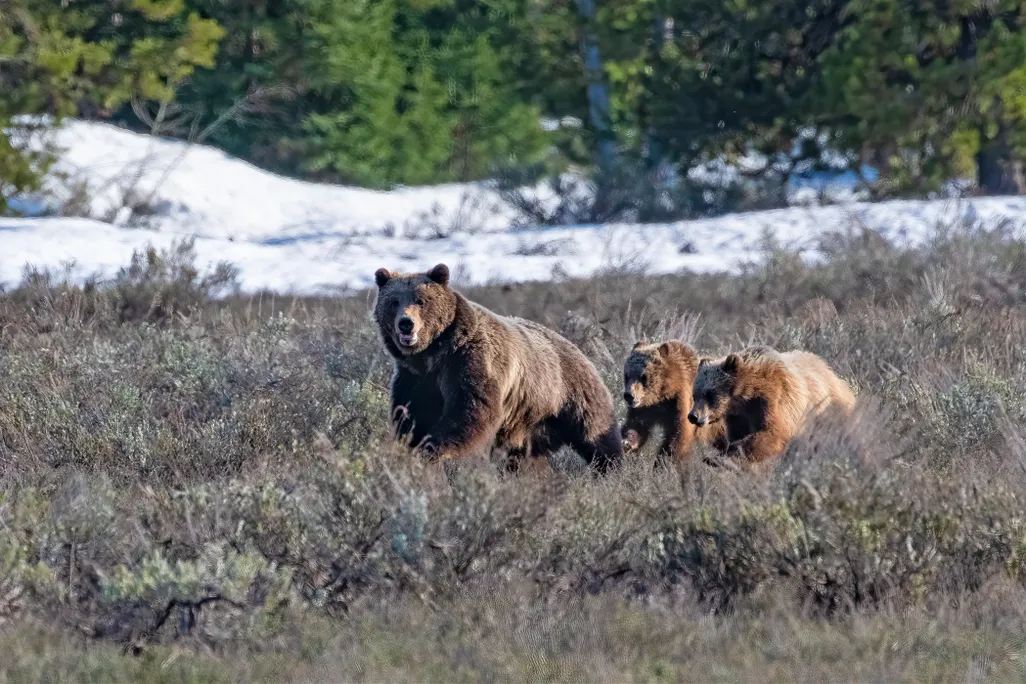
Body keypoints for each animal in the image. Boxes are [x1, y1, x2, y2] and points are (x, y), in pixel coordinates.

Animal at [373, 263, 623, 473]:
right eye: (393, 302)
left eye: (421, 300)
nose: (406, 323)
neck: (433, 354)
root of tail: (576, 347)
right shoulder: (416, 378)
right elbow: (413, 416)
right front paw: (415, 449)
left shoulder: (469, 363)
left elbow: (470, 410)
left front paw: (434, 448)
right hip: (528, 428)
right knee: (526, 460)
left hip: (569, 393)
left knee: (597, 434)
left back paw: (611, 469)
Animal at [688, 346, 856, 466]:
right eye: (695, 395)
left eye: (710, 393)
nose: (693, 416)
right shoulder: (739, 417)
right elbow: (738, 435)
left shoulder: (775, 401)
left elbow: (772, 433)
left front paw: (721, 458)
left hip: (827, 416)